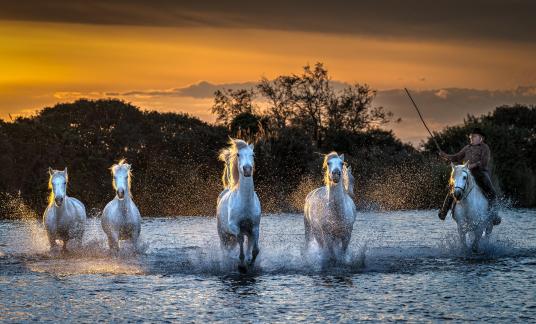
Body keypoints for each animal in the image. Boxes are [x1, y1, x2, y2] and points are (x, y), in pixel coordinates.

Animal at [216, 138, 262, 272]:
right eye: (238, 154)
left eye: (253, 154)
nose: (247, 169)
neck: (245, 203)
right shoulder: (235, 227)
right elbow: (240, 242)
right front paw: (241, 266)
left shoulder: (254, 227)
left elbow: (255, 250)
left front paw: (250, 264)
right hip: (223, 234)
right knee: (225, 250)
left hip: (246, 232)